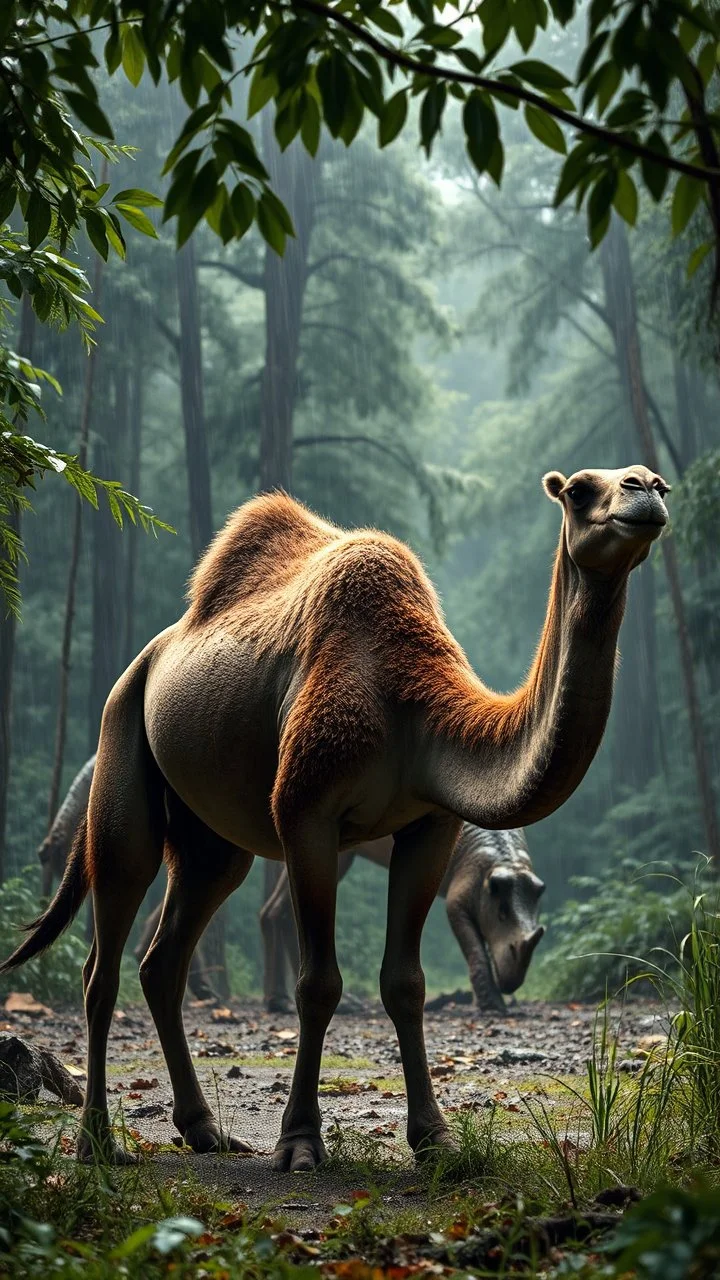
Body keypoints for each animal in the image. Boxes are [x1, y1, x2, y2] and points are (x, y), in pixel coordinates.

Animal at [261, 826, 545, 1015]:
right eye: (502, 913)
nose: (512, 981)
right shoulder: (463, 890)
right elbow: (474, 947)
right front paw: (493, 1006)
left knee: (271, 910)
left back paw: (279, 1002)